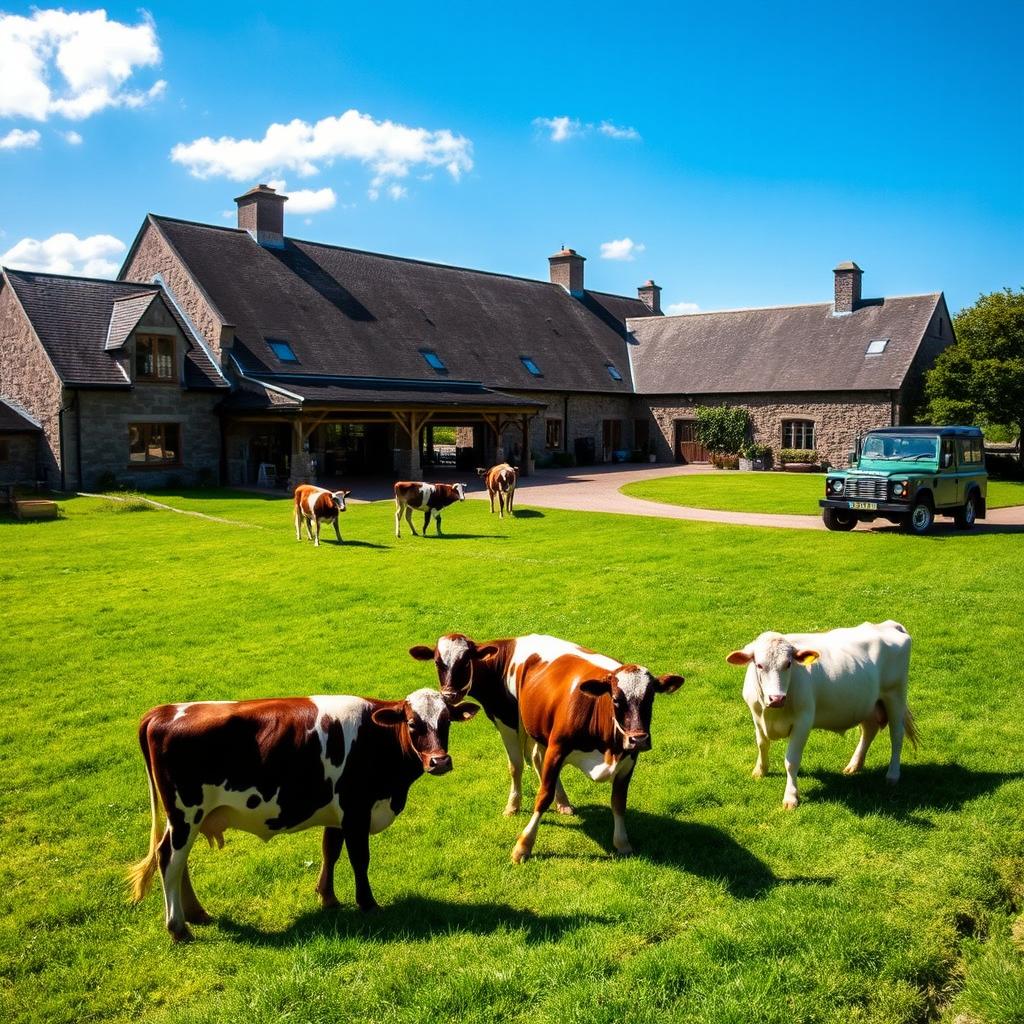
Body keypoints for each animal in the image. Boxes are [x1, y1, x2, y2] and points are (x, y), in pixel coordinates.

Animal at [126, 688, 475, 942]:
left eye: (446, 722)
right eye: (413, 723)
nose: (439, 761)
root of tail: (163, 711)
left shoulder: (338, 812)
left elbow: (330, 851)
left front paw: (328, 898)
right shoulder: (356, 809)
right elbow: (359, 858)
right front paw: (367, 903)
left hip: (188, 818)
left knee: (177, 860)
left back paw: (196, 914)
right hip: (186, 812)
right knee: (169, 859)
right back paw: (178, 928)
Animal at [411, 634, 684, 860]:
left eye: (650, 698)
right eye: (616, 699)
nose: (639, 738)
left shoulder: (628, 759)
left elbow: (618, 801)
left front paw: (622, 842)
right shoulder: (548, 742)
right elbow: (541, 794)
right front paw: (522, 846)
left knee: (534, 759)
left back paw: (563, 802)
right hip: (515, 724)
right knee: (519, 765)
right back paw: (515, 804)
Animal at [724, 614, 917, 806]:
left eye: (788, 664)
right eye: (759, 665)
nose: (777, 698)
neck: (771, 714)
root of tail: (888, 625)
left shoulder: (803, 721)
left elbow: (791, 761)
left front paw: (791, 797)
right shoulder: (756, 716)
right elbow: (762, 744)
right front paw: (760, 771)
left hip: (895, 695)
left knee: (896, 735)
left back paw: (892, 775)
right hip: (867, 703)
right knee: (869, 730)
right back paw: (854, 765)